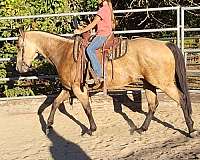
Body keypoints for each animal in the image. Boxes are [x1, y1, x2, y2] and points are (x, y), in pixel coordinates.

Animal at [16, 29, 198, 136]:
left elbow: (87, 108)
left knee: (182, 99)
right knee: (153, 105)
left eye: (19, 46)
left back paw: (191, 129)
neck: (64, 53)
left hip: (163, 83)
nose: (19, 67)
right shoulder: (68, 89)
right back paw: (142, 128)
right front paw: (48, 126)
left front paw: (91, 129)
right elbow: (55, 103)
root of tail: (165, 44)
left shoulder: (78, 89)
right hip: (149, 84)